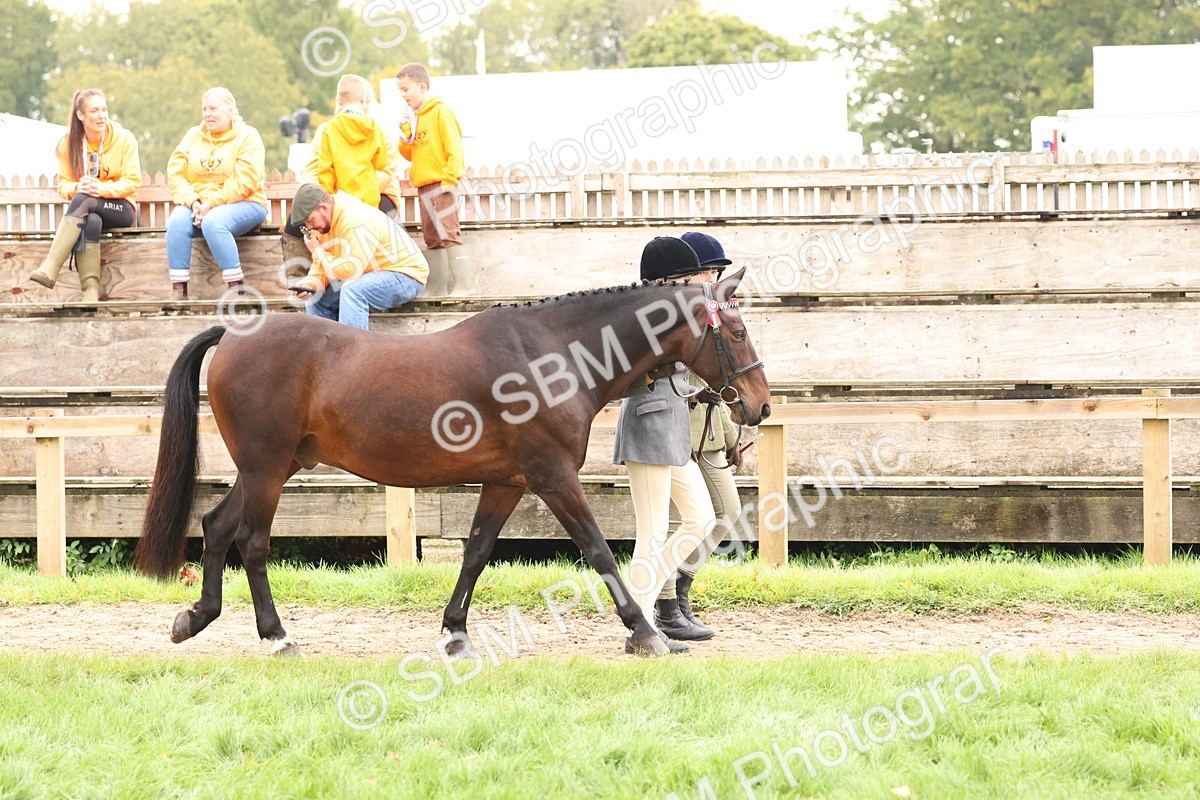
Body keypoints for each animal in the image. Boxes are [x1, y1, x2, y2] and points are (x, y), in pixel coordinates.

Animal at [134, 269, 771, 656]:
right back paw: (276, 636)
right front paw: (643, 633)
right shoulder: (553, 478)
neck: (552, 355)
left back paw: (196, 617)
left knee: (217, 526)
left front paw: (455, 632)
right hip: (267, 470)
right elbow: (597, 551)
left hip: (270, 468)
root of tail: (233, 334)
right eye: (738, 330)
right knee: (252, 541)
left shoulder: (507, 482)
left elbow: (476, 553)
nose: (759, 406)